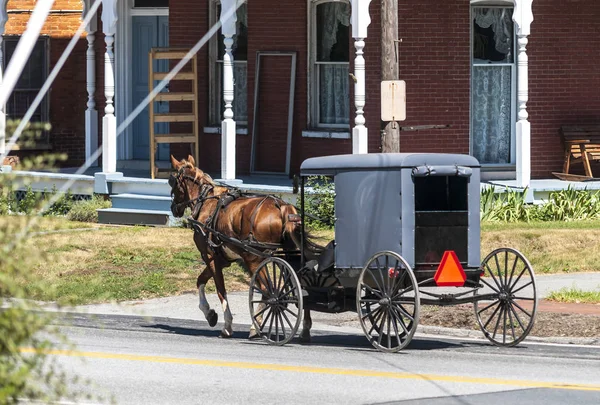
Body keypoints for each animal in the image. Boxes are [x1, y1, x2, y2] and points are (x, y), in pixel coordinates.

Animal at [169, 155, 324, 338]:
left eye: (172, 181)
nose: (173, 208)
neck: (206, 203)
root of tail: (283, 206)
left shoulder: (210, 257)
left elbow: (220, 290)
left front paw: (226, 325)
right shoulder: (222, 259)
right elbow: (200, 281)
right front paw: (209, 314)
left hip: (254, 259)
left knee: (267, 290)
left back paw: (256, 325)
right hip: (288, 254)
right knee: (301, 287)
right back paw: (304, 328)